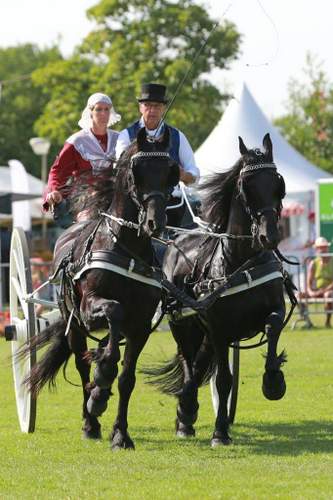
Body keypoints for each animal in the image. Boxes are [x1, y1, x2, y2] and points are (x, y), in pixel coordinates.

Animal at [21, 127, 179, 452]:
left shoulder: (141, 325)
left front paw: (121, 434)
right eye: (136, 171)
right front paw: (101, 383)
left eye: (170, 171)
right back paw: (90, 420)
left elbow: (127, 378)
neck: (126, 248)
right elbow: (113, 312)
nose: (155, 223)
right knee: (82, 365)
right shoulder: (89, 308)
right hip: (74, 325)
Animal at [145, 133, 288, 446]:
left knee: (198, 367)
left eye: (278, 184)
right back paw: (186, 414)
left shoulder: (275, 309)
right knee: (189, 365)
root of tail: (177, 240)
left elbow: (272, 328)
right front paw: (220, 431)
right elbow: (223, 381)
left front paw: (273, 381)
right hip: (183, 325)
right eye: (246, 186)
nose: (269, 236)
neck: (240, 261)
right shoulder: (221, 330)